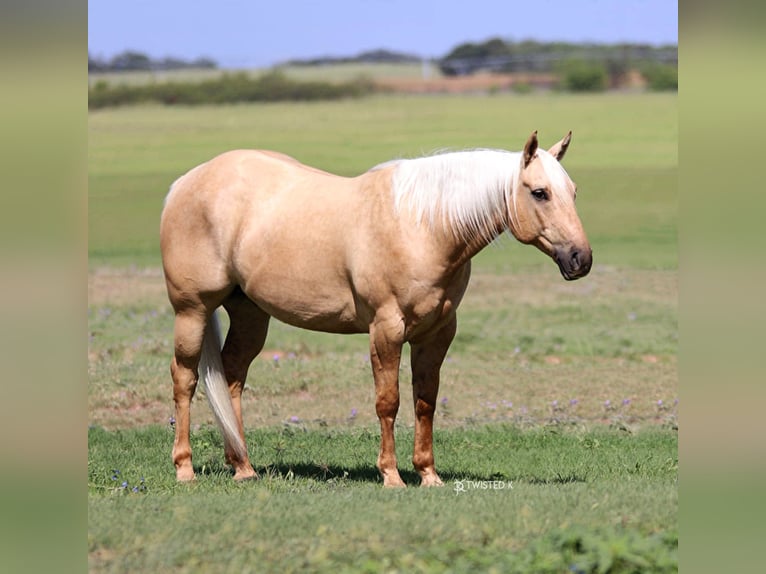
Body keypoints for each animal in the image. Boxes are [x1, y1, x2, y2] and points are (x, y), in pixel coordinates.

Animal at [160, 132, 592, 490]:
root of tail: (184, 183)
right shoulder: (386, 329)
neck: (423, 227)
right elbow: (389, 401)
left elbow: (425, 401)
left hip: (250, 314)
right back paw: (185, 468)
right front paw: (391, 475)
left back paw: (243, 467)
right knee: (185, 379)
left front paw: (428, 475)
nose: (580, 259)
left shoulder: (437, 333)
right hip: (192, 310)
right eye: (540, 193)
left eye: (573, 192)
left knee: (232, 376)